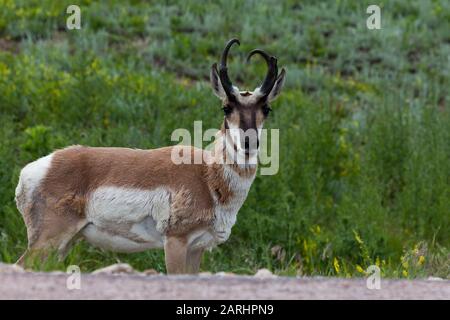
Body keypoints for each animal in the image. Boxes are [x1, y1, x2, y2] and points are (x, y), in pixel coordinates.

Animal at [16, 38, 288, 272]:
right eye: (226, 107)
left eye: (266, 108)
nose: (249, 142)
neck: (206, 175)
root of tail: (34, 169)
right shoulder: (175, 242)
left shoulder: (197, 248)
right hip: (48, 241)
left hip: (64, 243)